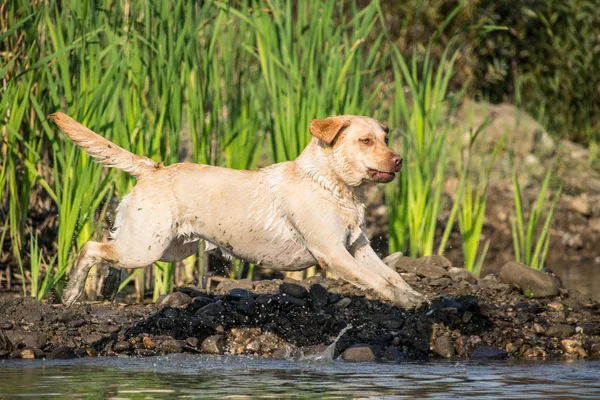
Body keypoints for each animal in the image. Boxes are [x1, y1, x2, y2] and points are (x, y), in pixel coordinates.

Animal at [50, 112, 426, 310]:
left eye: (385, 138)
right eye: (366, 141)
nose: (399, 160)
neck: (331, 184)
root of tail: (154, 168)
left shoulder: (358, 247)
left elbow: (390, 274)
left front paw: (415, 297)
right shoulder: (333, 253)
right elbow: (377, 281)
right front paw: (404, 302)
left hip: (171, 248)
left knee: (107, 251)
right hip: (145, 248)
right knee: (90, 247)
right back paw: (70, 293)